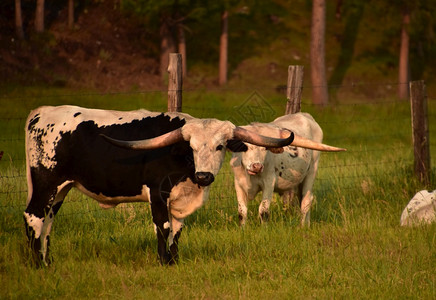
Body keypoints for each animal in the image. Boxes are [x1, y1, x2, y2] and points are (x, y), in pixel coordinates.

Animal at [24, 105, 300, 264]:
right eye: (192, 147)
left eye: (220, 146)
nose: (204, 176)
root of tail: (41, 112)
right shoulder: (157, 193)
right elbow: (163, 226)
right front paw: (162, 261)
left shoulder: (180, 199)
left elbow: (177, 228)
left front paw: (174, 261)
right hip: (46, 182)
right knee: (34, 216)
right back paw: (37, 264)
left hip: (61, 189)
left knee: (48, 222)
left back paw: (47, 261)